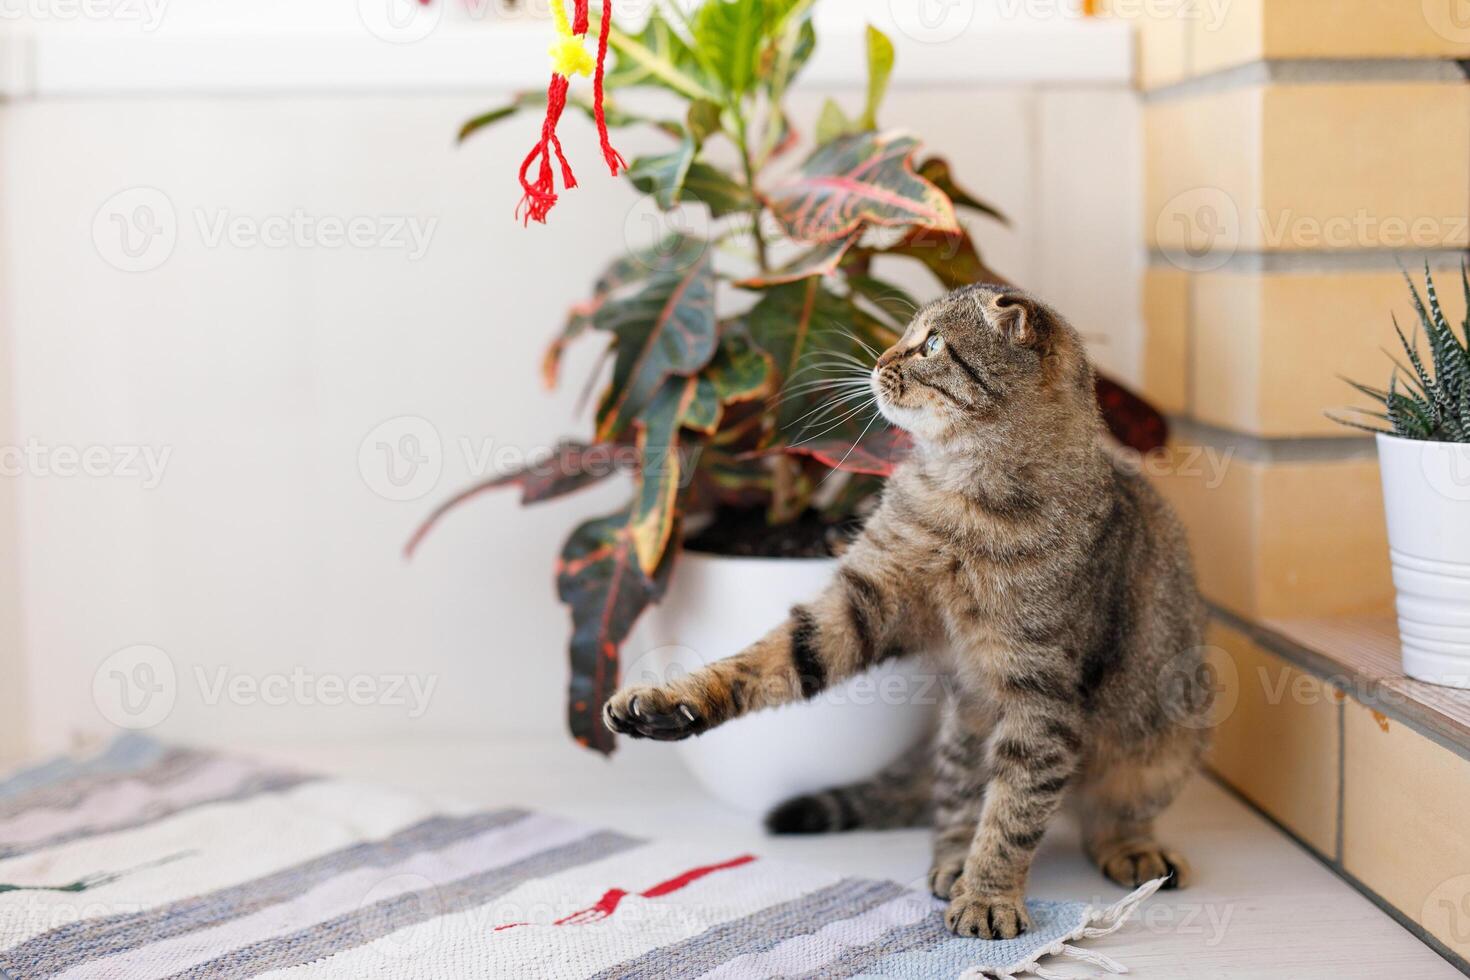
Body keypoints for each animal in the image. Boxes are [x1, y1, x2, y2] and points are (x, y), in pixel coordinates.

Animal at [602, 283, 1211, 940]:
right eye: (908, 334)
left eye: (934, 344)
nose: (878, 360)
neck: (963, 495)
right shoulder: (864, 601)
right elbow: (767, 660)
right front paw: (668, 703)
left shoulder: (1043, 695)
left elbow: (1015, 809)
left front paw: (990, 895)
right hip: (965, 723)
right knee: (955, 801)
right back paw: (953, 863)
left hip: (1165, 741)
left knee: (1111, 815)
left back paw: (1132, 849)